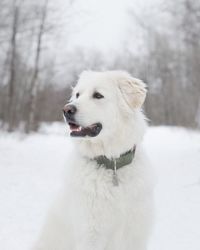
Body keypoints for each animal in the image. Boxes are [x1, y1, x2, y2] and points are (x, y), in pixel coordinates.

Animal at [33, 70, 154, 250]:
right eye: (77, 95)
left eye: (98, 95)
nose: (66, 109)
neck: (112, 165)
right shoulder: (91, 235)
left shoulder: (135, 235)